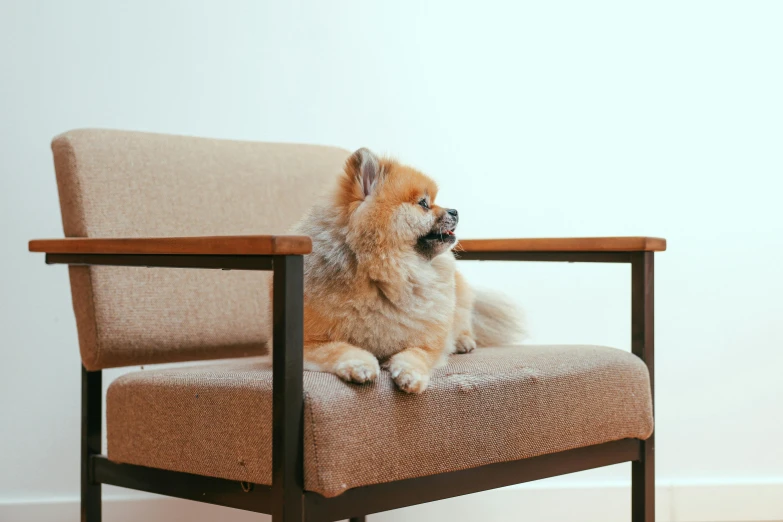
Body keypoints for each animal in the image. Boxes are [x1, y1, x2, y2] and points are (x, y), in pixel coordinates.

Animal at [284, 146, 524, 390]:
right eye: (424, 204)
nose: (455, 211)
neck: (387, 276)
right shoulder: (308, 341)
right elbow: (338, 349)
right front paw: (359, 365)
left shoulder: (428, 342)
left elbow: (416, 353)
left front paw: (411, 374)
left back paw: (463, 341)